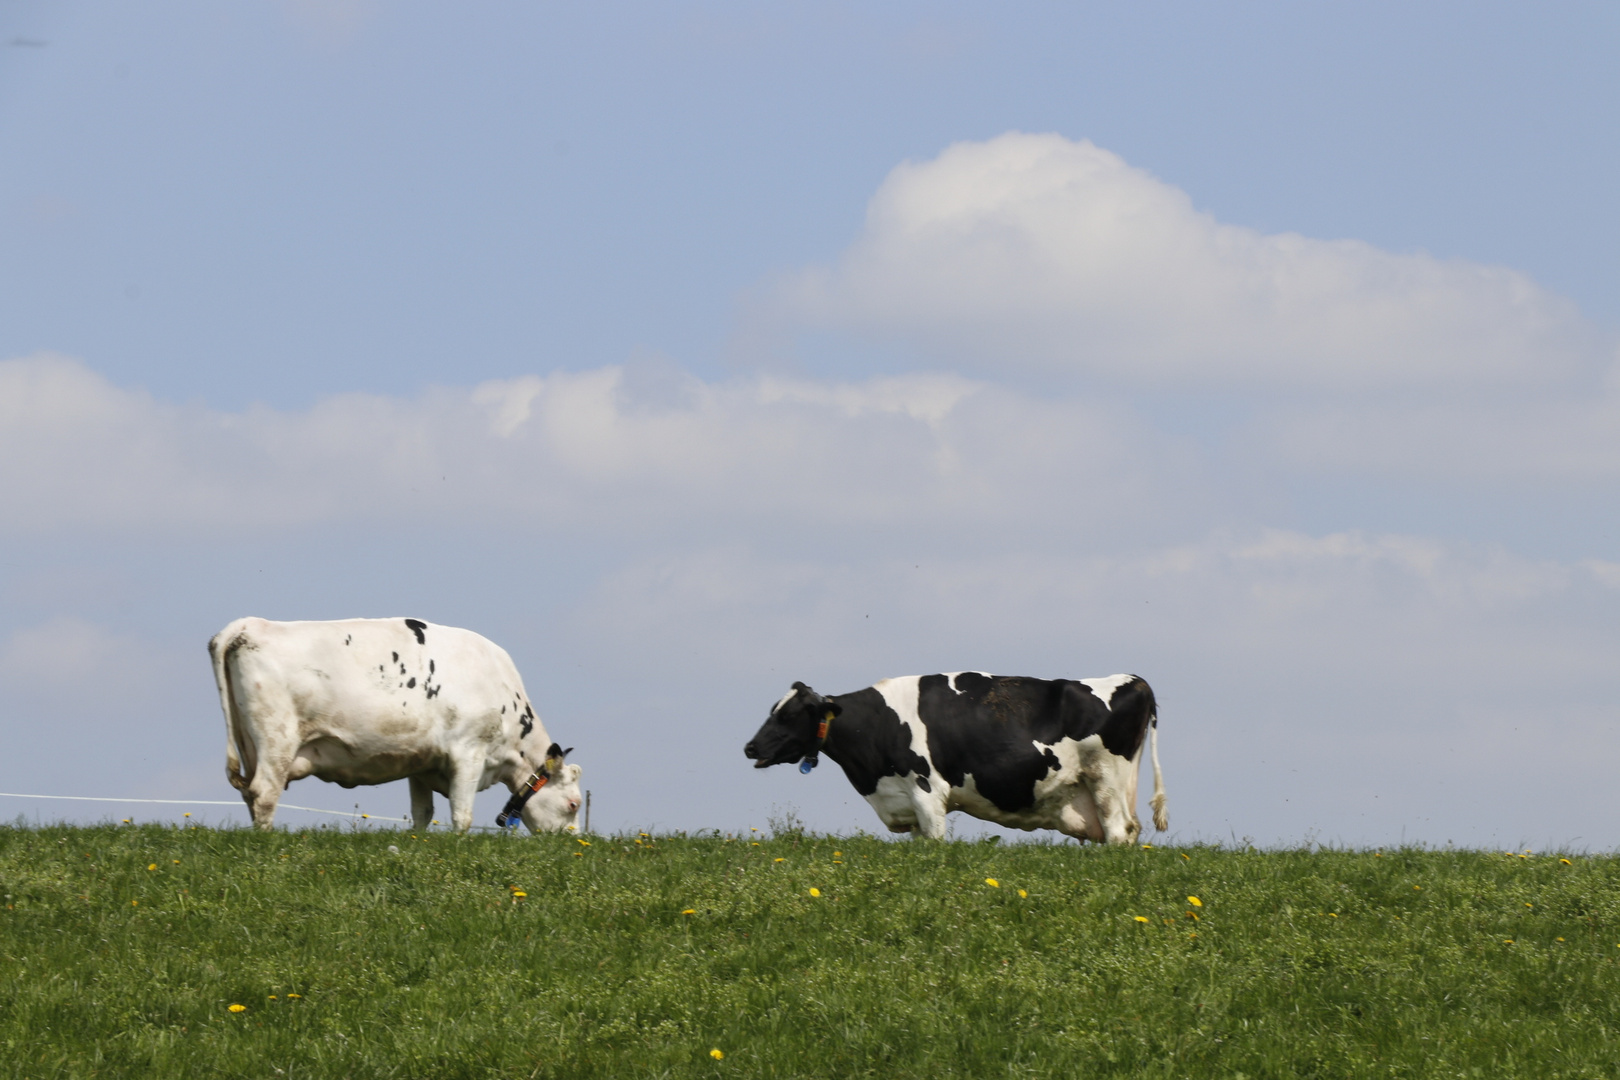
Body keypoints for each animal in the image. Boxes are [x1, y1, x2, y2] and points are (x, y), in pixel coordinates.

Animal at [205, 615, 579, 835]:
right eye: (573, 804)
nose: (571, 843)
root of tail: (250, 624)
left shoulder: (423, 762)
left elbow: (422, 811)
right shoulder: (469, 752)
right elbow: (462, 815)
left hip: (249, 742)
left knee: (250, 794)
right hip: (277, 738)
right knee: (264, 793)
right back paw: (266, 841)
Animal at [745, 676, 1166, 841]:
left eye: (788, 715)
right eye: (772, 709)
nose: (750, 747)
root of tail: (1135, 680)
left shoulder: (927, 792)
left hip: (1105, 779)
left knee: (1118, 831)